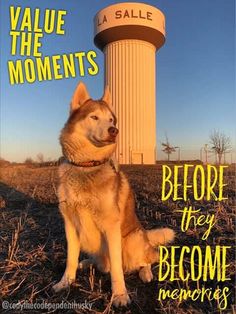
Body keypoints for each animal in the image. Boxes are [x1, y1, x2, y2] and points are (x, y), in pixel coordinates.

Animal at [54, 81, 175, 306]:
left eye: (111, 119)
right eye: (94, 117)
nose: (114, 130)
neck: (87, 166)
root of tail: (145, 235)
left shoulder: (111, 226)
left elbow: (118, 270)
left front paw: (119, 295)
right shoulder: (70, 224)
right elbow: (70, 259)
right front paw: (65, 282)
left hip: (132, 241)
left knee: (146, 260)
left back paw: (146, 273)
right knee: (99, 262)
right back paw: (86, 262)